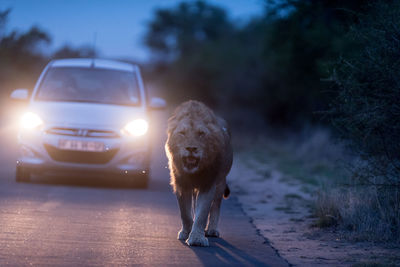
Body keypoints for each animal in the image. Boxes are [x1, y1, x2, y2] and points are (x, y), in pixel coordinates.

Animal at [165, 100, 233, 247]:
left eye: (201, 133)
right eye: (182, 133)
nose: (191, 148)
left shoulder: (208, 183)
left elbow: (202, 213)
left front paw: (197, 239)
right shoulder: (181, 184)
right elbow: (185, 212)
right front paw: (186, 232)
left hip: (221, 182)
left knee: (216, 205)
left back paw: (212, 230)